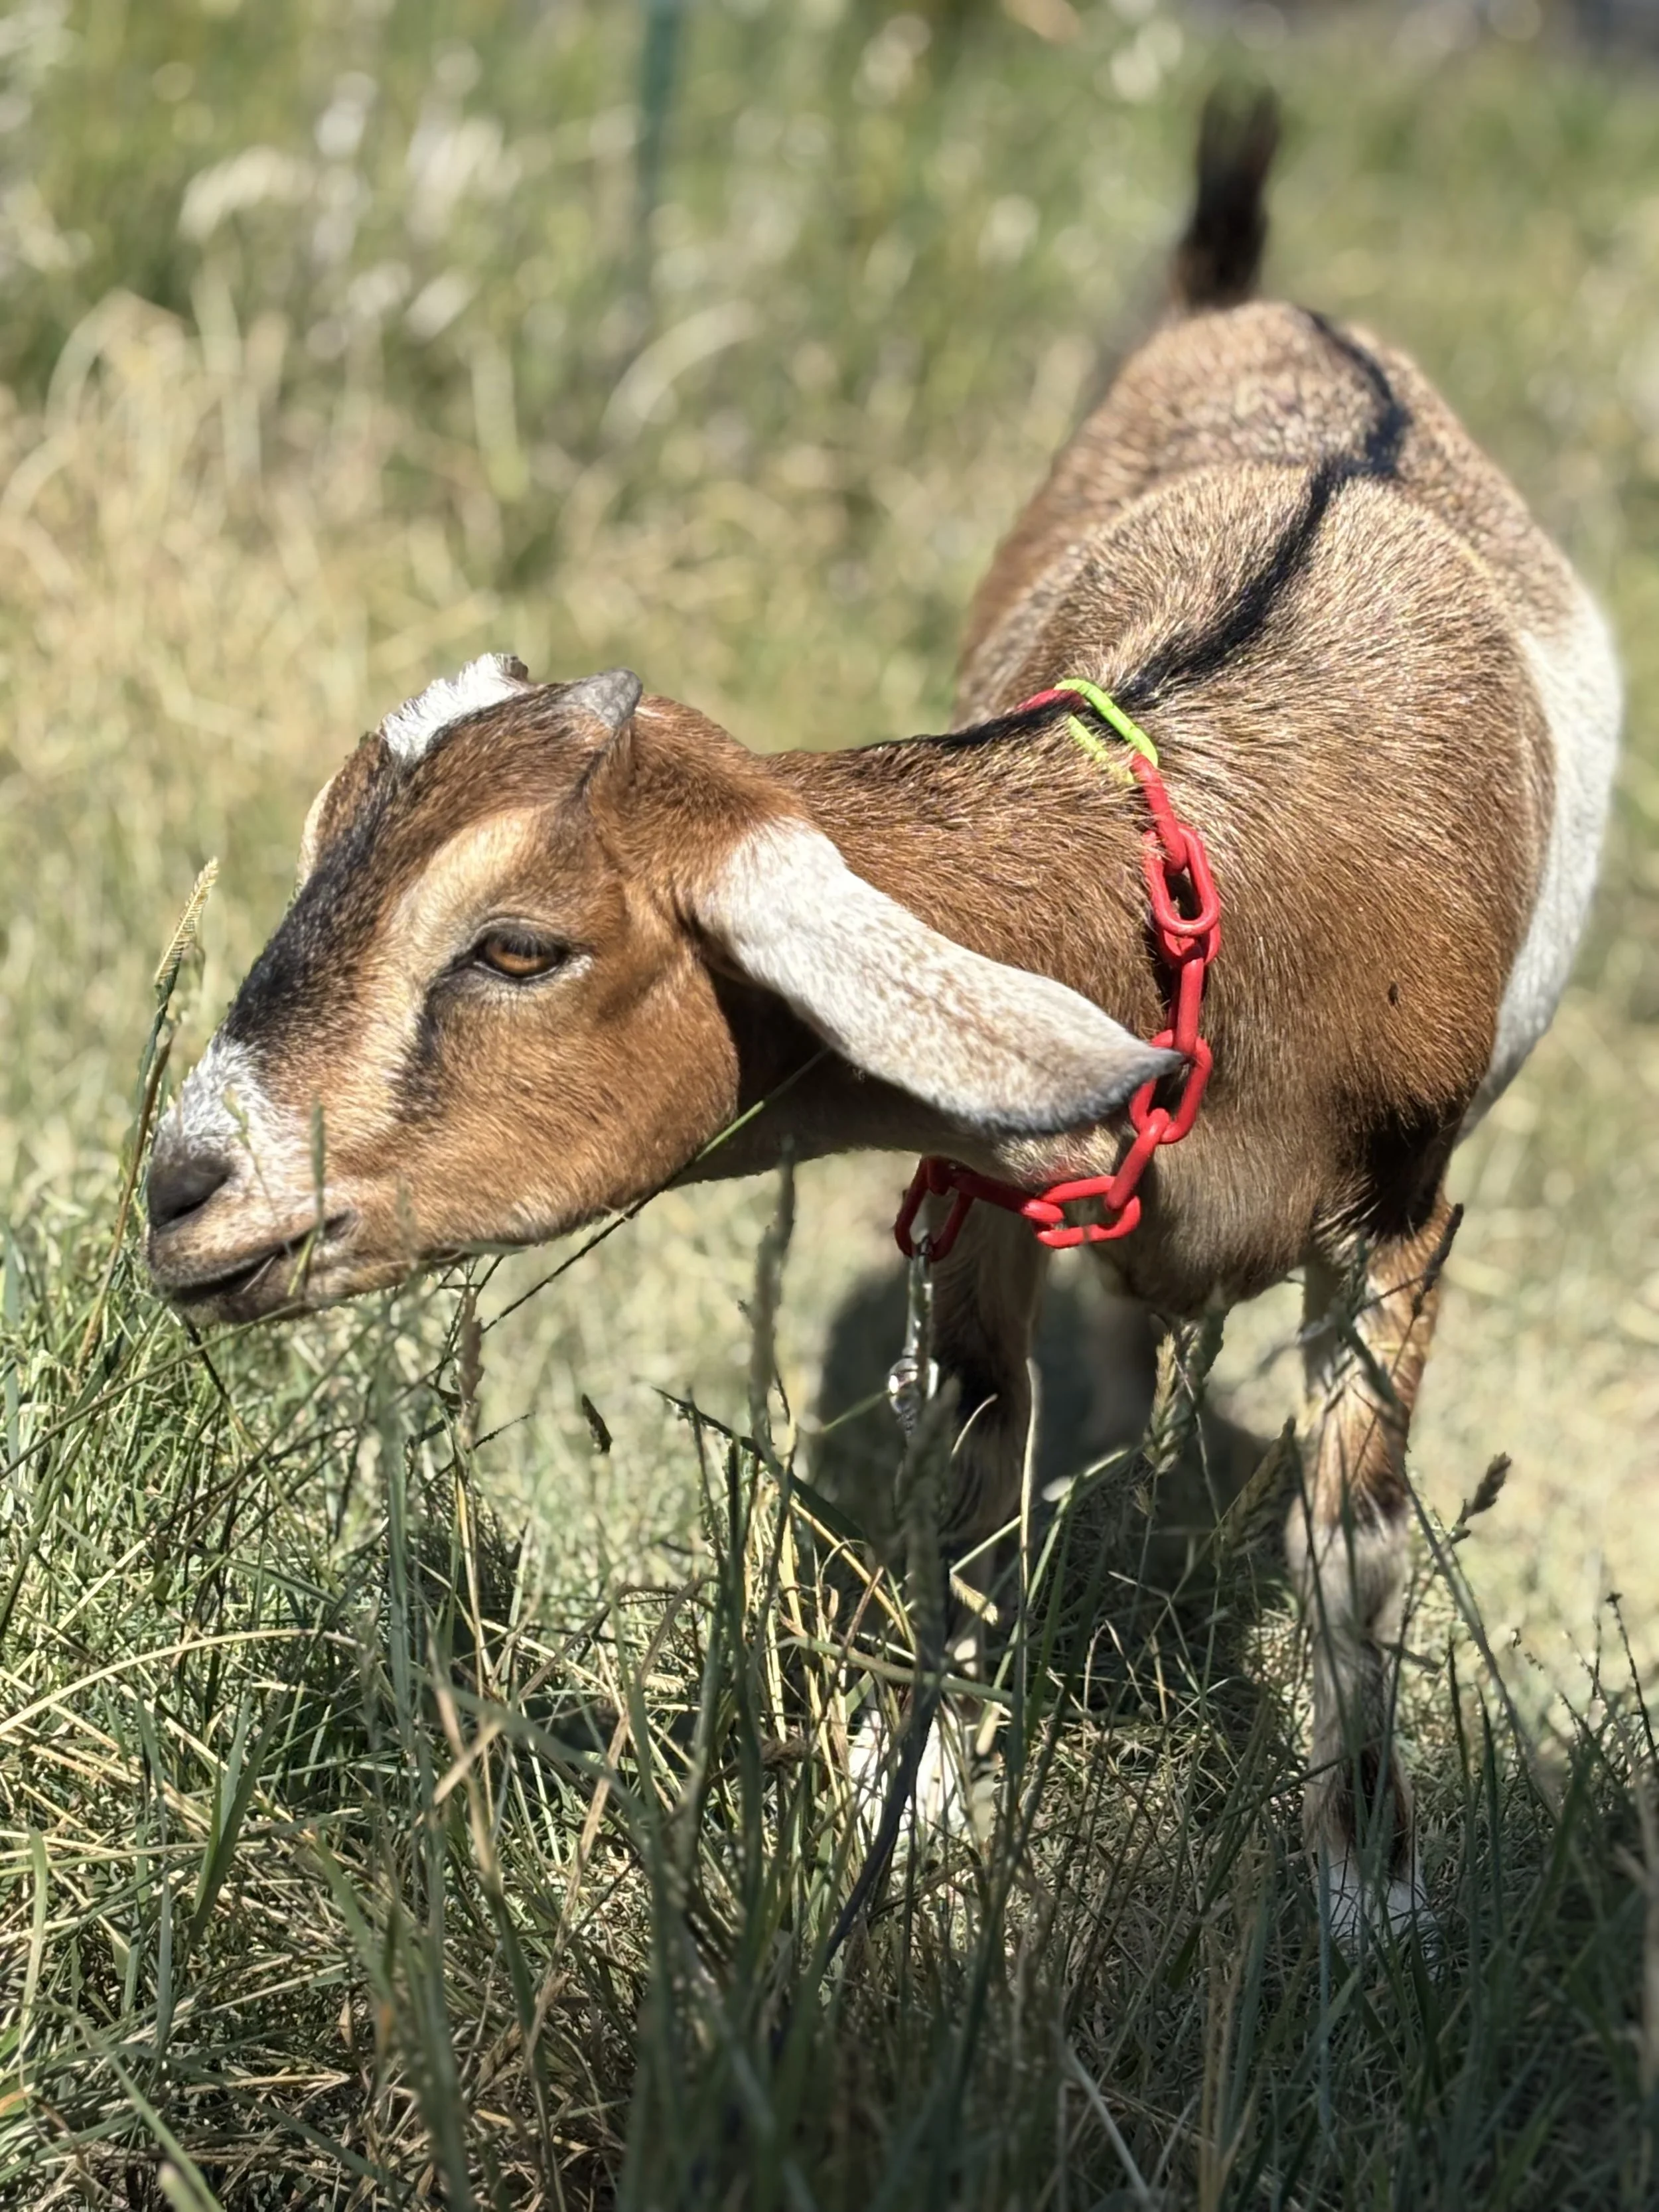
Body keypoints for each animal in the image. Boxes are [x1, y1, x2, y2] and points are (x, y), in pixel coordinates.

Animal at [146, 101, 1620, 1942]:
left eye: (520, 946)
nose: (183, 1186)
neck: (1211, 879)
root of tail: (1255, 303)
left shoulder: (1404, 1211)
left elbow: (1351, 1548)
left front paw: (1373, 1902)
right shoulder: (987, 1186)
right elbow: (973, 1468)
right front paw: (912, 1803)